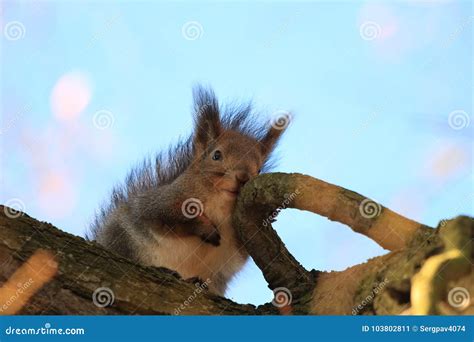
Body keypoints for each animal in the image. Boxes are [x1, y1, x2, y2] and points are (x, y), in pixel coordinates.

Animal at [88, 86, 288, 296]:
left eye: (259, 169)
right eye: (216, 155)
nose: (243, 177)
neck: (221, 202)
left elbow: (242, 250)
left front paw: (271, 215)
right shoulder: (161, 202)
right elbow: (171, 216)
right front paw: (205, 227)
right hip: (125, 241)